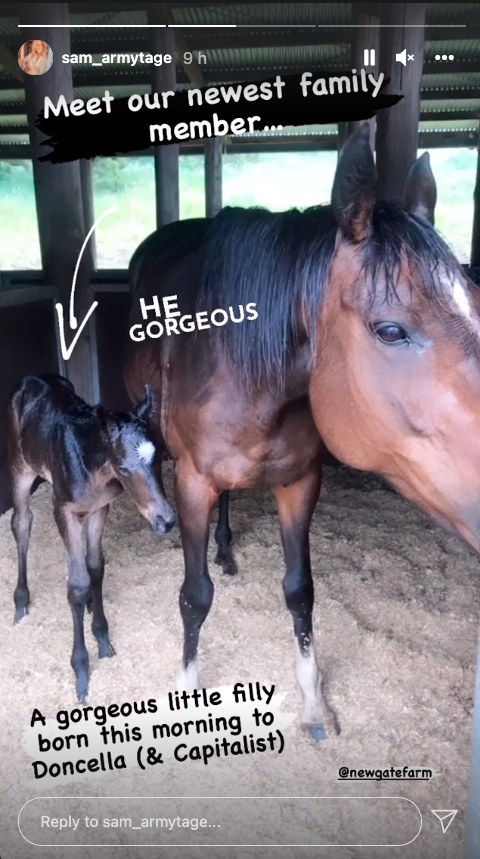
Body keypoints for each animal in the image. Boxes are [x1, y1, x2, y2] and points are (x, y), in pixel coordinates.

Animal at [7, 372, 176, 704]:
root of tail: (33, 377)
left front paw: (102, 637)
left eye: (159, 457)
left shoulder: (100, 507)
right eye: (123, 466)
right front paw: (81, 671)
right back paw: (21, 602)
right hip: (20, 467)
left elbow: (95, 569)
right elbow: (77, 584)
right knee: (21, 523)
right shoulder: (64, 510)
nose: (166, 520)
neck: (92, 466)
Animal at [125, 126, 480, 740]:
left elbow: (299, 591)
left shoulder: (299, 483)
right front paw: (187, 689)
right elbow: (195, 596)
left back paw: (227, 549)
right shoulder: (193, 481)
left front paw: (313, 703)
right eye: (391, 330)